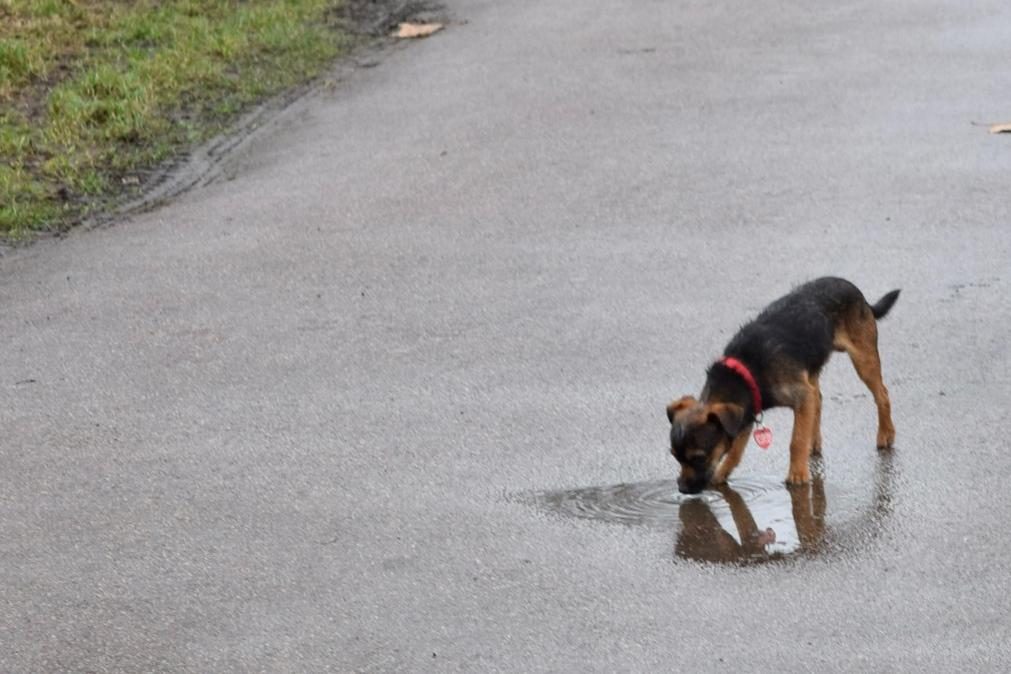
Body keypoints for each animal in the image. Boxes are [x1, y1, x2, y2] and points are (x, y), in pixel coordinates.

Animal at [663, 276, 901, 493]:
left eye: (699, 458)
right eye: (675, 456)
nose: (682, 489)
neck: (747, 370)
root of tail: (858, 293)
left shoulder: (798, 396)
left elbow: (796, 440)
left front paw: (797, 474)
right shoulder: (748, 409)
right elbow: (736, 451)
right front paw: (722, 474)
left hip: (863, 357)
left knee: (882, 394)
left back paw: (886, 433)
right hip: (812, 368)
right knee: (818, 399)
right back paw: (814, 442)